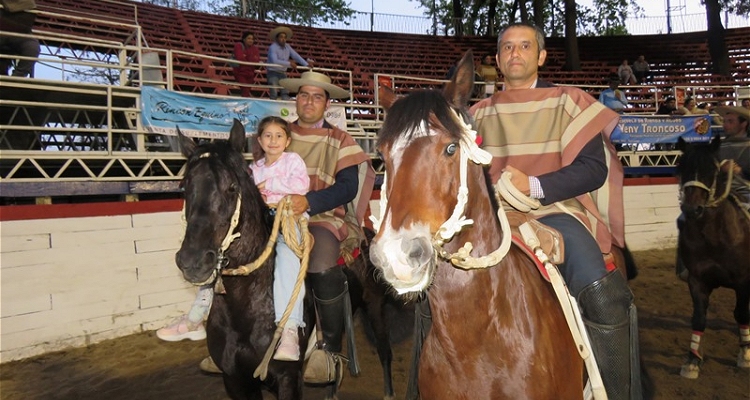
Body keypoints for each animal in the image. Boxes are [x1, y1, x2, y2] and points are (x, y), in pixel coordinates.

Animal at [176, 120, 414, 398]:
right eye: (185, 186)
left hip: (374, 307)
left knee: (384, 351)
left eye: (232, 188)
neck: (246, 305)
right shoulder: (235, 380)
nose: (193, 260)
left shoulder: (288, 378)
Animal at [676, 137, 750, 378]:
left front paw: (745, 353)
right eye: (682, 168)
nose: (692, 209)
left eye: (712, 170)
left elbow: (741, 315)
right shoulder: (697, 281)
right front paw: (692, 361)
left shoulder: (743, 282)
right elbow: (699, 318)